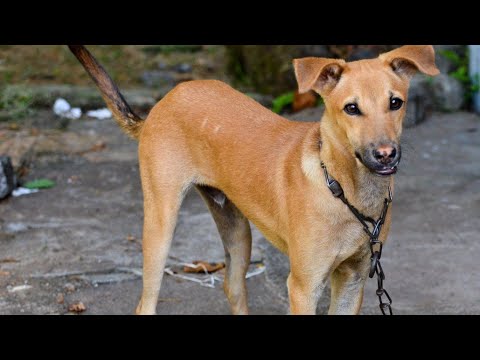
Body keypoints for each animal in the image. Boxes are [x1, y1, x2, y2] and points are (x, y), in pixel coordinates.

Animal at [68, 45, 438, 316]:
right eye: (351, 108)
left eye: (396, 103)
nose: (386, 154)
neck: (343, 189)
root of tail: (163, 103)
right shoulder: (304, 286)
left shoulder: (353, 279)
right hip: (161, 223)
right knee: (146, 302)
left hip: (237, 230)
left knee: (233, 287)